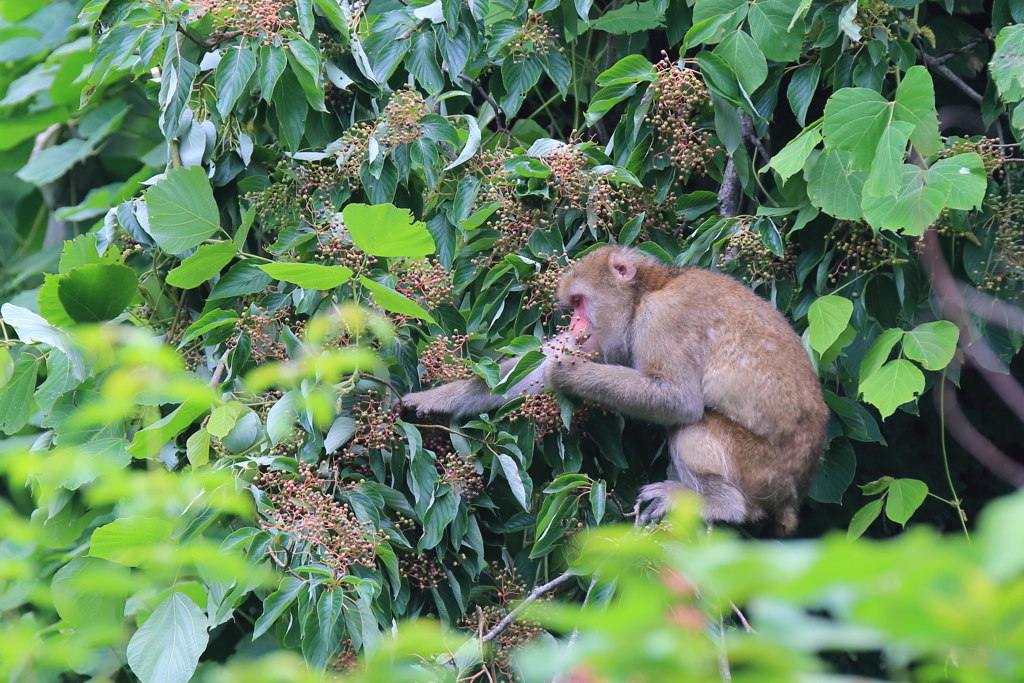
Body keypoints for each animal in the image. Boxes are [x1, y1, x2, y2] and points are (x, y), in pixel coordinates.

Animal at [403, 245, 827, 532]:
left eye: (579, 301)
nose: (574, 326)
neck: (649, 292)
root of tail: (796, 492)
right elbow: (526, 374)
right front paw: (434, 401)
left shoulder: (665, 317)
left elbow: (678, 400)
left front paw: (565, 373)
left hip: (760, 470)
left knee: (694, 426)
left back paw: (722, 506)